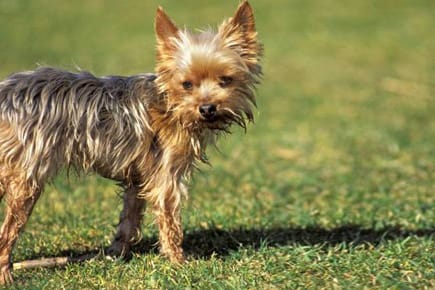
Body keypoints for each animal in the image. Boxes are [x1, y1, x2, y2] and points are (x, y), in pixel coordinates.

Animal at [0, 1, 260, 284]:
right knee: (7, 232)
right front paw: (178, 261)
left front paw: (117, 254)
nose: (207, 109)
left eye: (226, 80)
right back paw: (6, 275)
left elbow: (129, 219)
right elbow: (170, 220)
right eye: (187, 84)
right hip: (26, 176)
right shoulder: (166, 178)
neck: (170, 106)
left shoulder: (139, 178)